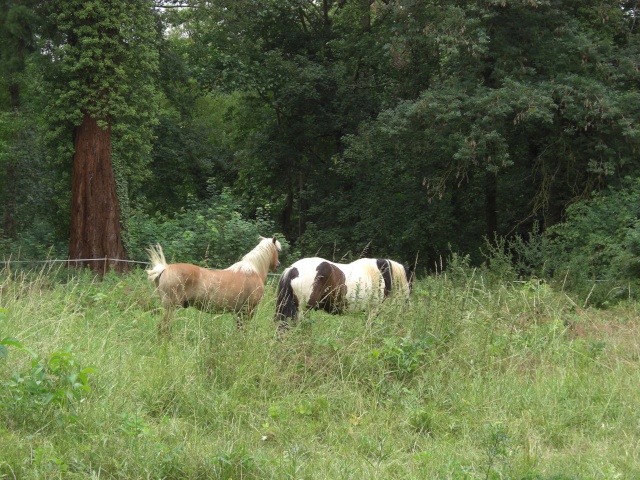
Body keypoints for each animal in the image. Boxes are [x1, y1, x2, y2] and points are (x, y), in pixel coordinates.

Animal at [150, 235, 282, 334]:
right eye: (277, 250)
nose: (278, 265)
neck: (253, 270)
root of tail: (165, 269)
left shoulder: (239, 312)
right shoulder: (248, 310)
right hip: (170, 308)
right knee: (164, 327)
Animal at [276, 256, 416, 332]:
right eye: (411, 282)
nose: (408, 305)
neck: (380, 274)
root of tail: (293, 269)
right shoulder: (373, 311)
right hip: (301, 311)